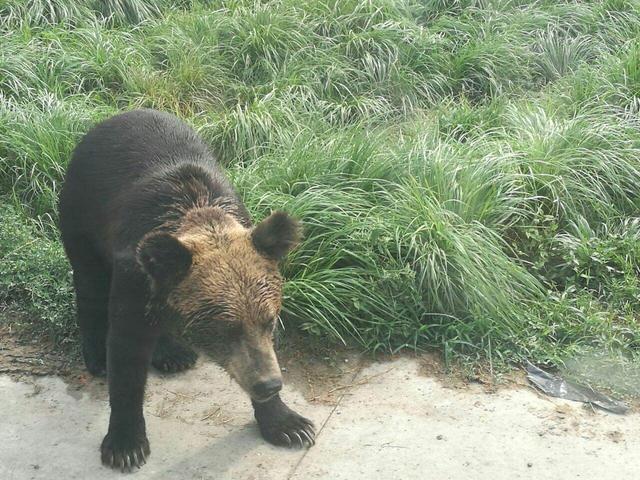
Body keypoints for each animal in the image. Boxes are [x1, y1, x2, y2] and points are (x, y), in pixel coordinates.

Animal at [58, 109, 314, 472]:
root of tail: (114, 118)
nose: (268, 384)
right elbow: (126, 354)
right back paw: (97, 355)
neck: (196, 213)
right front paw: (125, 444)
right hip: (81, 212)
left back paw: (174, 353)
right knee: (89, 282)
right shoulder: (134, 277)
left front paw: (288, 424)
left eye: (270, 321)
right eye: (226, 328)